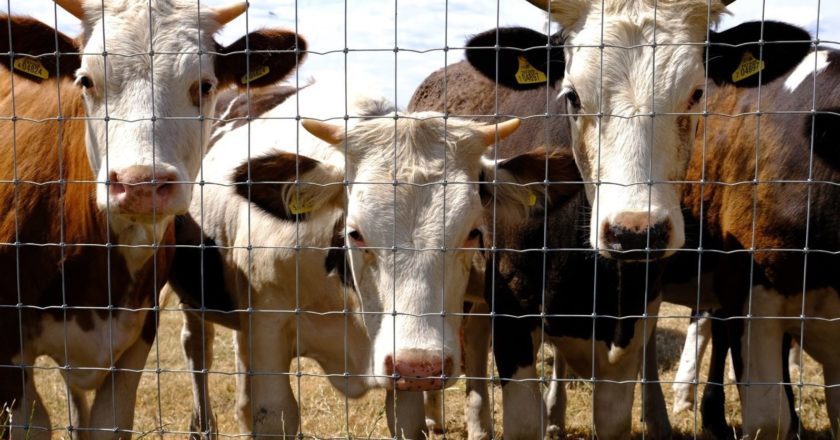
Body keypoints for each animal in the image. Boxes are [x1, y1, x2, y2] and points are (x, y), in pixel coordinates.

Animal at [166, 79, 580, 439]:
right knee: (196, 347)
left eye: (473, 232)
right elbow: (275, 413)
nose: (420, 365)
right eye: (355, 232)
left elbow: (406, 419)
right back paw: (203, 424)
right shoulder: (269, 329)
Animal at [409, 1, 814, 437]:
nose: (635, 233)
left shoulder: (630, 331)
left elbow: (613, 417)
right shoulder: (512, 308)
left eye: (697, 92)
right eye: (572, 95)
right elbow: (522, 420)